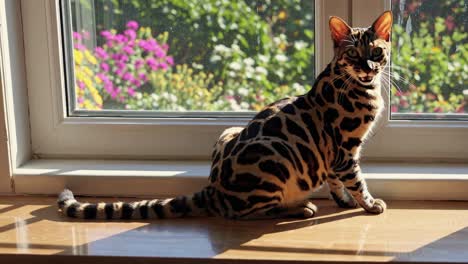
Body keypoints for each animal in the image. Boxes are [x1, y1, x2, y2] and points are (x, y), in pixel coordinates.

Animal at [59, 10, 394, 221]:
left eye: (376, 52)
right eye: (353, 54)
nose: (368, 67)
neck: (361, 86)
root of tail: (212, 190)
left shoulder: (333, 155)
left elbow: (336, 181)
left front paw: (344, 201)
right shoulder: (343, 150)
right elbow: (355, 180)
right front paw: (368, 204)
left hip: (229, 131)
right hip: (275, 155)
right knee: (245, 213)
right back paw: (299, 208)